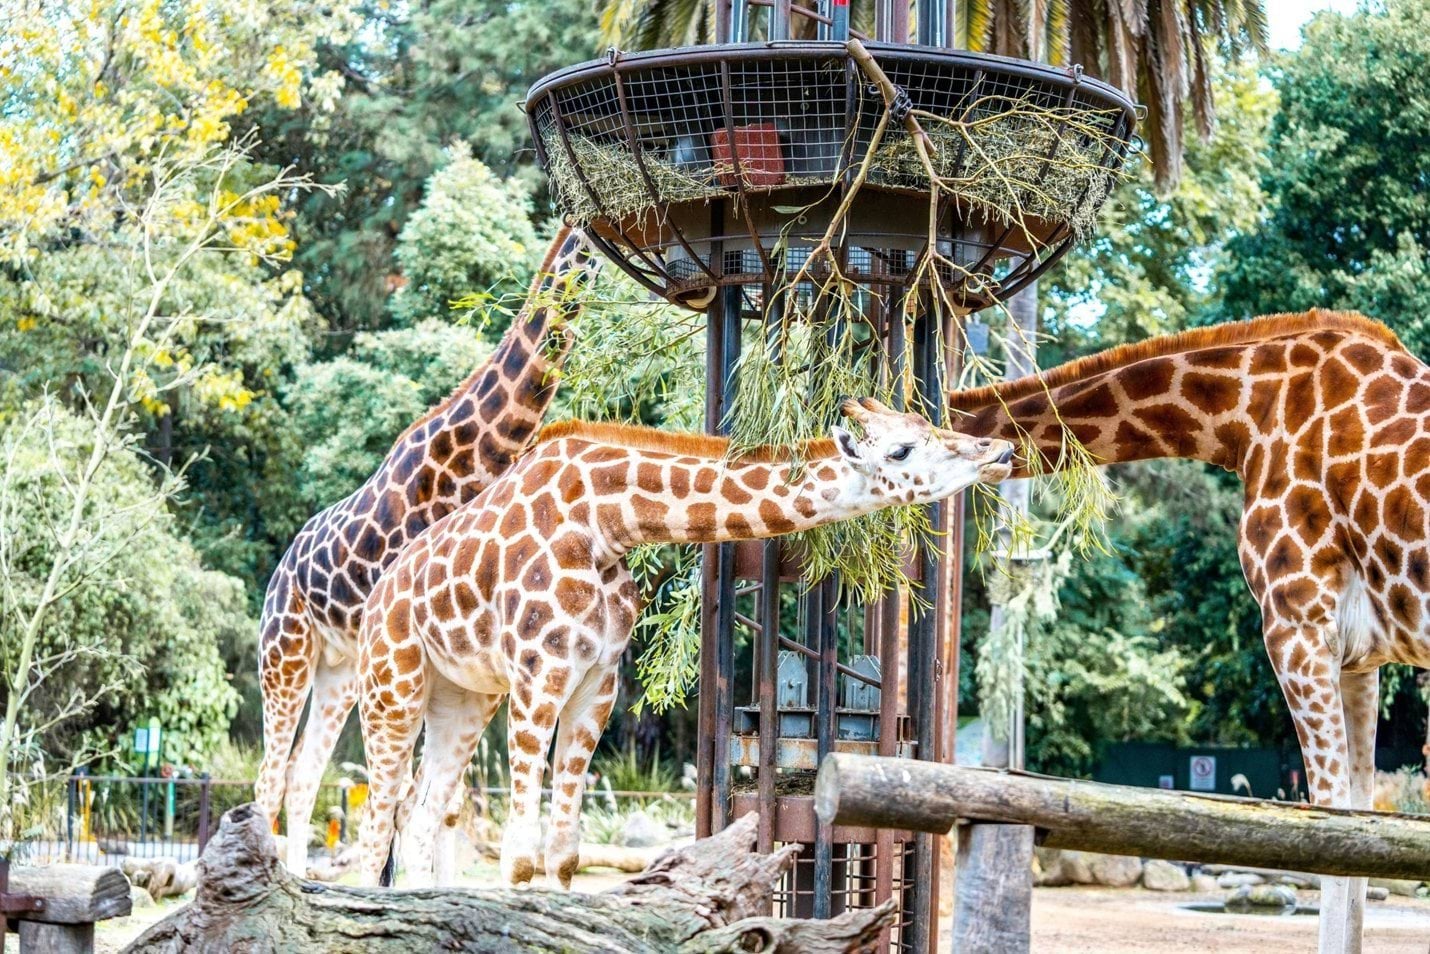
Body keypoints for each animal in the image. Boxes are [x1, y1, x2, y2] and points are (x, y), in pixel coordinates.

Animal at [254, 226, 598, 875]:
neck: (470, 461)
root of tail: (280, 570)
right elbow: (406, 799)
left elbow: (445, 805)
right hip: (285, 656)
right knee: (270, 774)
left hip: (340, 670)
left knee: (303, 775)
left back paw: (301, 880)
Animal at [352, 400, 1015, 890]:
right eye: (902, 449)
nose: (1000, 452)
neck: (608, 522)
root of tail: (376, 601)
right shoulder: (540, 673)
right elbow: (518, 857)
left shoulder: (597, 682)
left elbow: (564, 854)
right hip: (392, 687)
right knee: (375, 825)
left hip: (465, 696)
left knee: (418, 818)